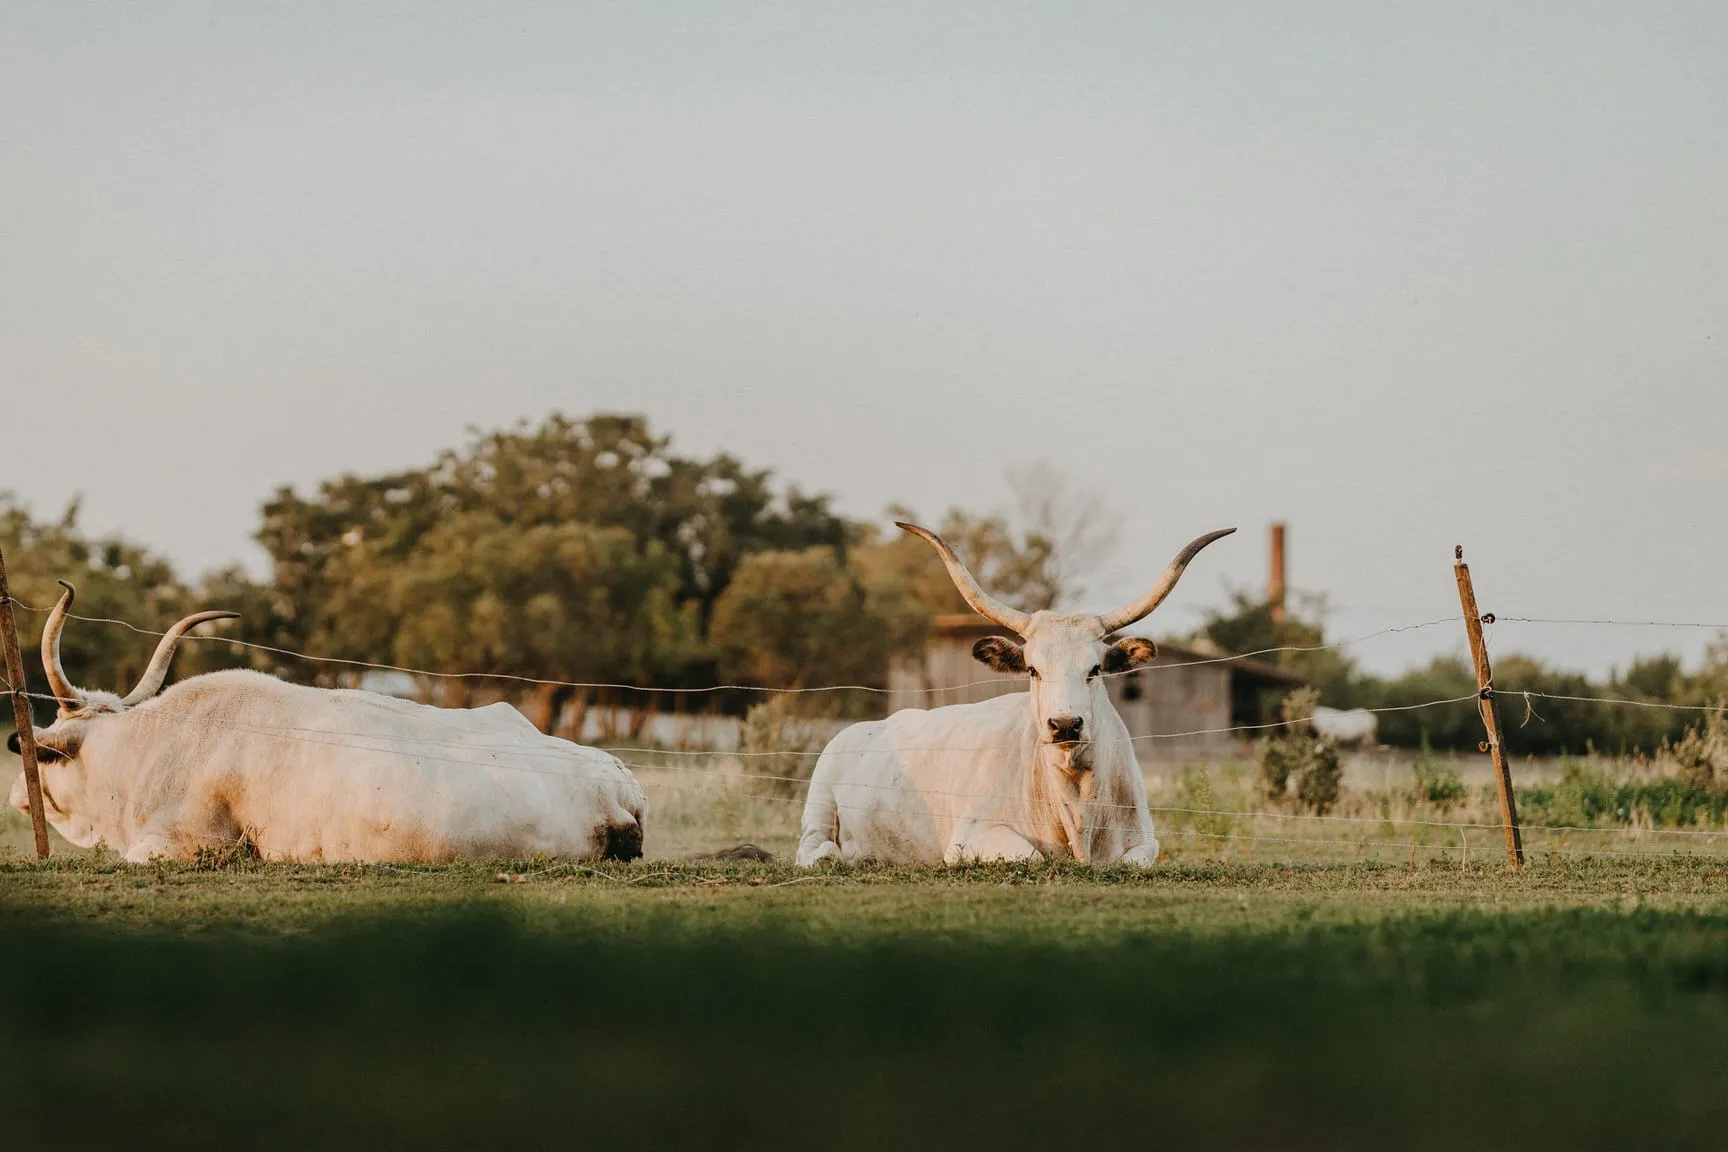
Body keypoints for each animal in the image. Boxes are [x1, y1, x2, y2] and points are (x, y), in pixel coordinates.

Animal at [795, 523, 1234, 867]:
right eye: (1033, 670)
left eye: (1094, 670)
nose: (1064, 724)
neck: (1077, 805)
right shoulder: (970, 837)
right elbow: (1032, 856)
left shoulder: (1145, 842)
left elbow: (1133, 861)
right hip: (818, 803)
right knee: (812, 850)